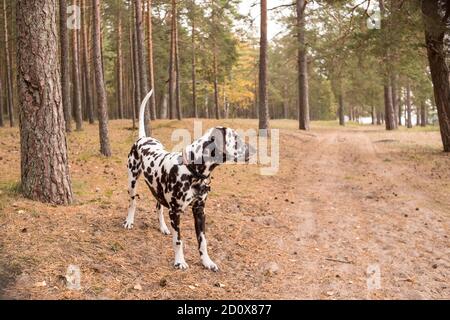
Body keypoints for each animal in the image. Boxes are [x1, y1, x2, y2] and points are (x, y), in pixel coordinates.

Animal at [123, 90, 253, 272]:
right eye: (236, 139)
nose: (253, 150)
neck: (192, 170)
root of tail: (143, 138)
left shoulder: (199, 211)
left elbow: (203, 241)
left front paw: (207, 261)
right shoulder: (175, 212)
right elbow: (179, 240)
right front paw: (179, 261)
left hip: (158, 191)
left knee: (158, 207)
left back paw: (163, 227)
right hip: (132, 181)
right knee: (133, 202)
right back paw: (129, 221)